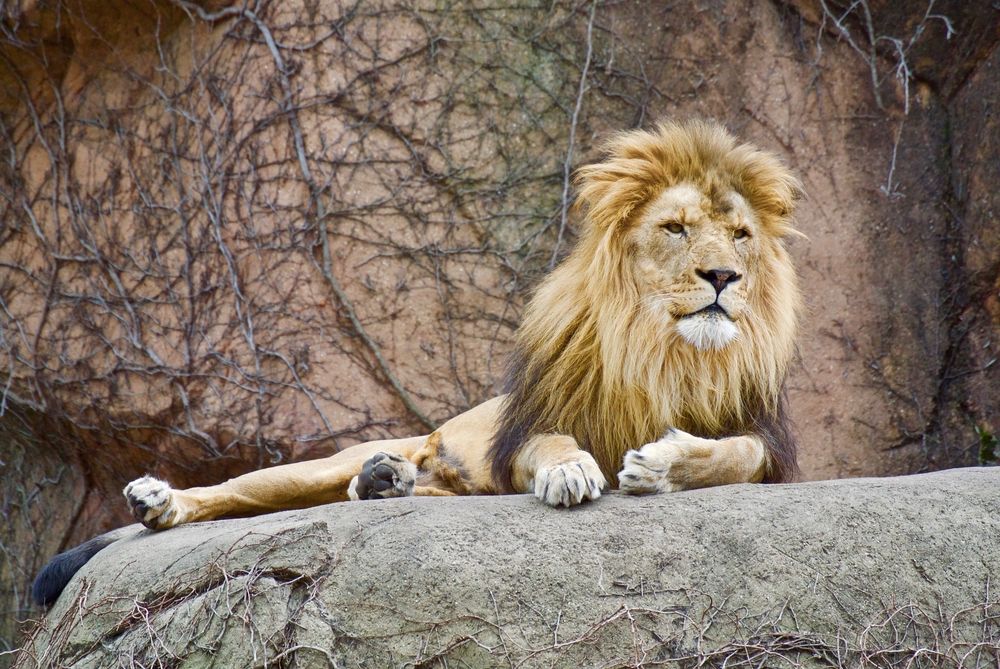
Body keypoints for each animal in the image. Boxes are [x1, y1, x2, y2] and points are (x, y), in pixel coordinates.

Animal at [33, 119, 802, 606]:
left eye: (740, 234)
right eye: (674, 228)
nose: (723, 276)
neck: (663, 352)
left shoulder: (767, 444)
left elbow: (733, 453)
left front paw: (665, 461)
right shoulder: (523, 431)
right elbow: (553, 442)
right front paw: (571, 470)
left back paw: (384, 482)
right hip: (305, 469)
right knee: (230, 493)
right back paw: (164, 500)